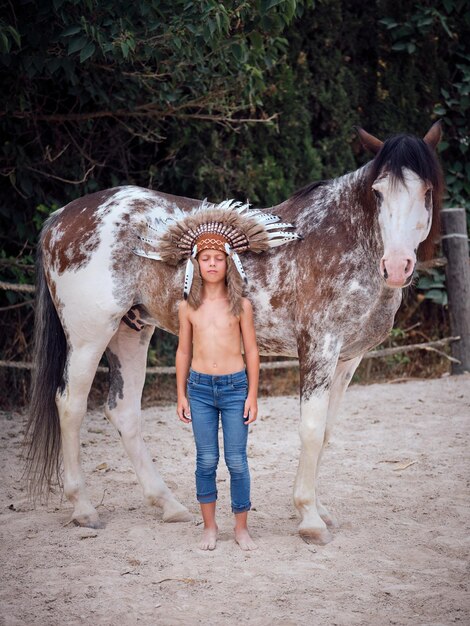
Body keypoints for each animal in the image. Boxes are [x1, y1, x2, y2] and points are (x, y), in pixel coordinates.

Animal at [26, 122, 444, 540]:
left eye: (426, 191)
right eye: (378, 192)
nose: (397, 266)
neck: (344, 237)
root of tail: (61, 217)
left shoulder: (346, 359)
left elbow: (325, 432)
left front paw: (321, 511)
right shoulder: (318, 347)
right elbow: (310, 429)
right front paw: (309, 517)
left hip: (130, 333)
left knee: (123, 412)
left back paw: (169, 505)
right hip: (90, 337)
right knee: (71, 404)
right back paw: (84, 509)